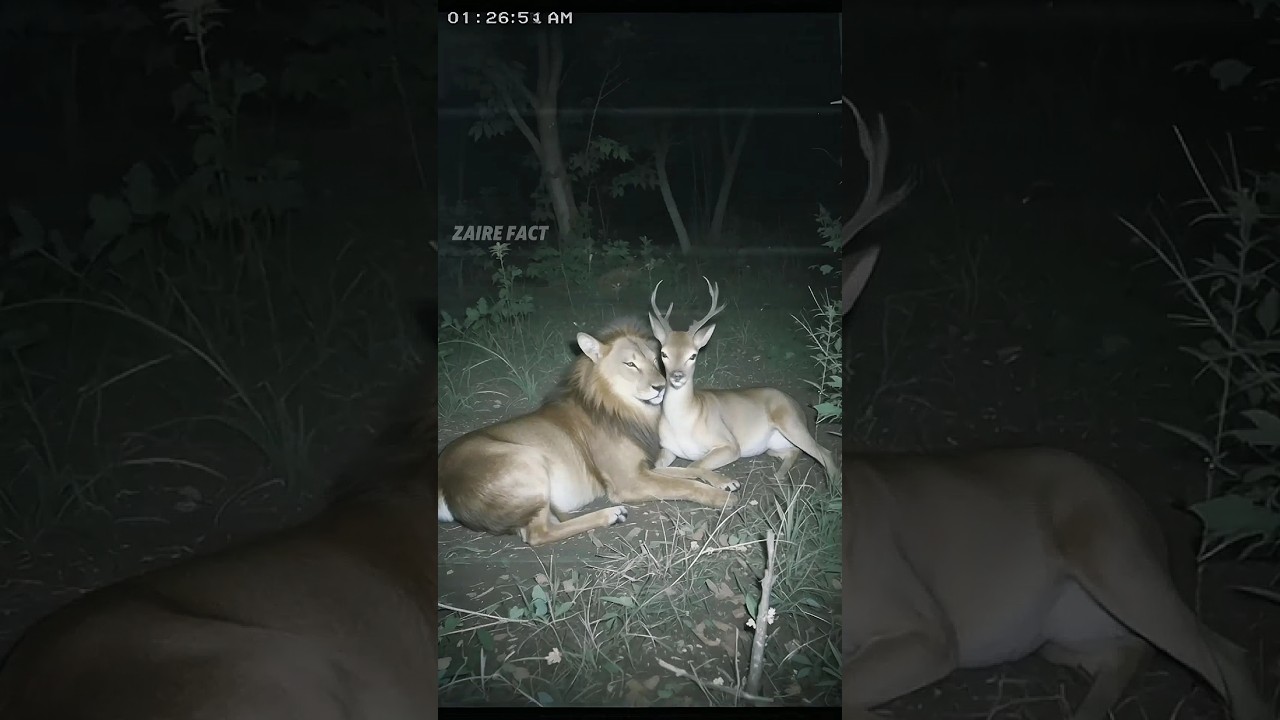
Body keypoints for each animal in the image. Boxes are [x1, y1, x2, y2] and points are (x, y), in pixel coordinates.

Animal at [438, 319, 740, 547]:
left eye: (657, 360)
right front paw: (723, 498)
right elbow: (685, 485)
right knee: (538, 534)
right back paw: (611, 514)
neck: (626, 409)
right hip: (527, 459)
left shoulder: (645, 466)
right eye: (630, 364)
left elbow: (687, 470)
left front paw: (723, 481)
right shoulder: (627, 481)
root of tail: (443, 484)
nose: (661, 387)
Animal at [647, 278, 838, 485]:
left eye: (693, 355)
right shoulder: (667, 448)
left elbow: (693, 466)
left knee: (825, 452)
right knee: (795, 451)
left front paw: (727, 482)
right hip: (773, 446)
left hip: (791, 422)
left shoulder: (729, 443)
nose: (677, 376)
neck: (682, 422)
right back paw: (779, 476)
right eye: (664, 353)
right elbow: (656, 466)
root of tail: (798, 407)